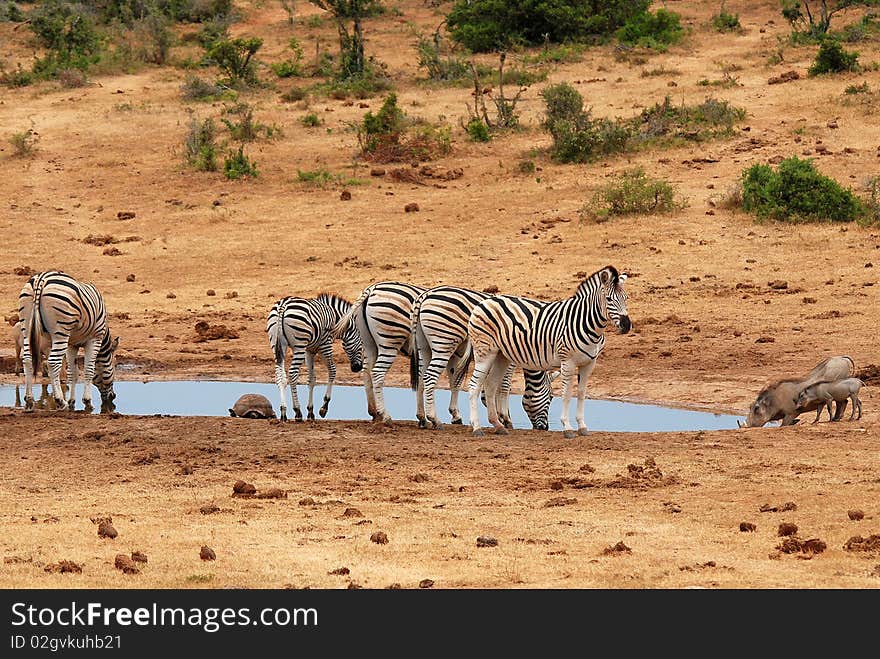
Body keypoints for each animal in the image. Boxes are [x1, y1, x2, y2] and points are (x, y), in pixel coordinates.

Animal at [18, 270, 118, 416]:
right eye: (113, 368)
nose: (113, 397)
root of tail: (41, 279)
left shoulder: (72, 344)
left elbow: (73, 373)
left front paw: (72, 402)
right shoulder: (95, 338)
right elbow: (88, 370)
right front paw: (87, 402)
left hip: (26, 327)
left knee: (27, 360)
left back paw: (29, 400)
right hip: (61, 331)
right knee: (53, 363)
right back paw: (60, 401)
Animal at [268, 294, 364, 422]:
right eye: (362, 345)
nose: (357, 368)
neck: (337, 320)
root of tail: (283, 305)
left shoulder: (309, 350)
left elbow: (311, 379)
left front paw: (310, 411)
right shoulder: (325, 345)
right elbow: (332, 371)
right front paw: (324, 407)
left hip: (277, 345)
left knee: (280, 376)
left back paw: (283, 412)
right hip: (299, 345)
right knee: (293, 373)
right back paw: (297, 411)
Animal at [332, 282, 424, 426]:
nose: (354, 368)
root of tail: (371, 290)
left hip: (370, 345)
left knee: (366, 371)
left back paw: (375, 412)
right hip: (389, 341)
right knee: (377, 372)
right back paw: (385, 416)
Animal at [408, 286, 556, 430]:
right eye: (551, 397)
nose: (545, 428)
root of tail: (426, 294)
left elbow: (491, 385)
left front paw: (498, 414)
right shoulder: (509, 357)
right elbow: (505, 385)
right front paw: (505, 417)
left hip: (425, 347)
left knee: (421, 377)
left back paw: (422, 418)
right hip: (444, 342)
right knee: (429, 377)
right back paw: (434, 420)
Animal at [464, 266, 628, 440]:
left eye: (626, 298)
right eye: (609, 299)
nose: (627, 325)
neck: (586, 323)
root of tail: (484, 302)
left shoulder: (589, 363)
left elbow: (581, 393)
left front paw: (582, 427)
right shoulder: (567, 361)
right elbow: (567, 393)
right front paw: (567, 428)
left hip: (501, 356)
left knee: (490, 384)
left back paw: (498, 425)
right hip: (485, 352)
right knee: (474, 385)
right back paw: (476, 427)